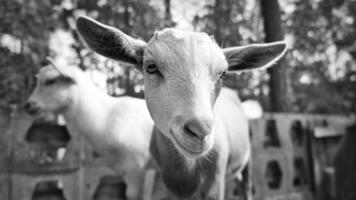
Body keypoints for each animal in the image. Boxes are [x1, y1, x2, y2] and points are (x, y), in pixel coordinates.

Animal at [76, 16, 286, 200]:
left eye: (223, 73)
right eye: (150, 66)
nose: (200, 131)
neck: (185, 173)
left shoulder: (214, 185)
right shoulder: (160, 183)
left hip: (245, 163)